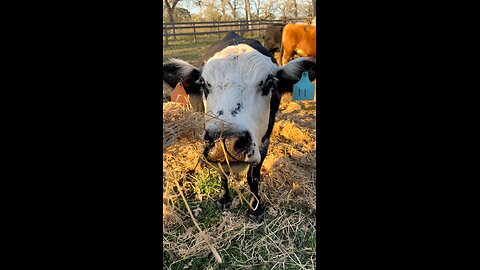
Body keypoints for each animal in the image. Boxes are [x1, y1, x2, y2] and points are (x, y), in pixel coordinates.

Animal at [163, 31, 316, 221]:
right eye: (204, 83)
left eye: (269, 83)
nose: (226, 142)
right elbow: (222, 171)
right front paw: (224, 198)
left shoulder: (264, 141)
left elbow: (253, 177)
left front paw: (255, 209)